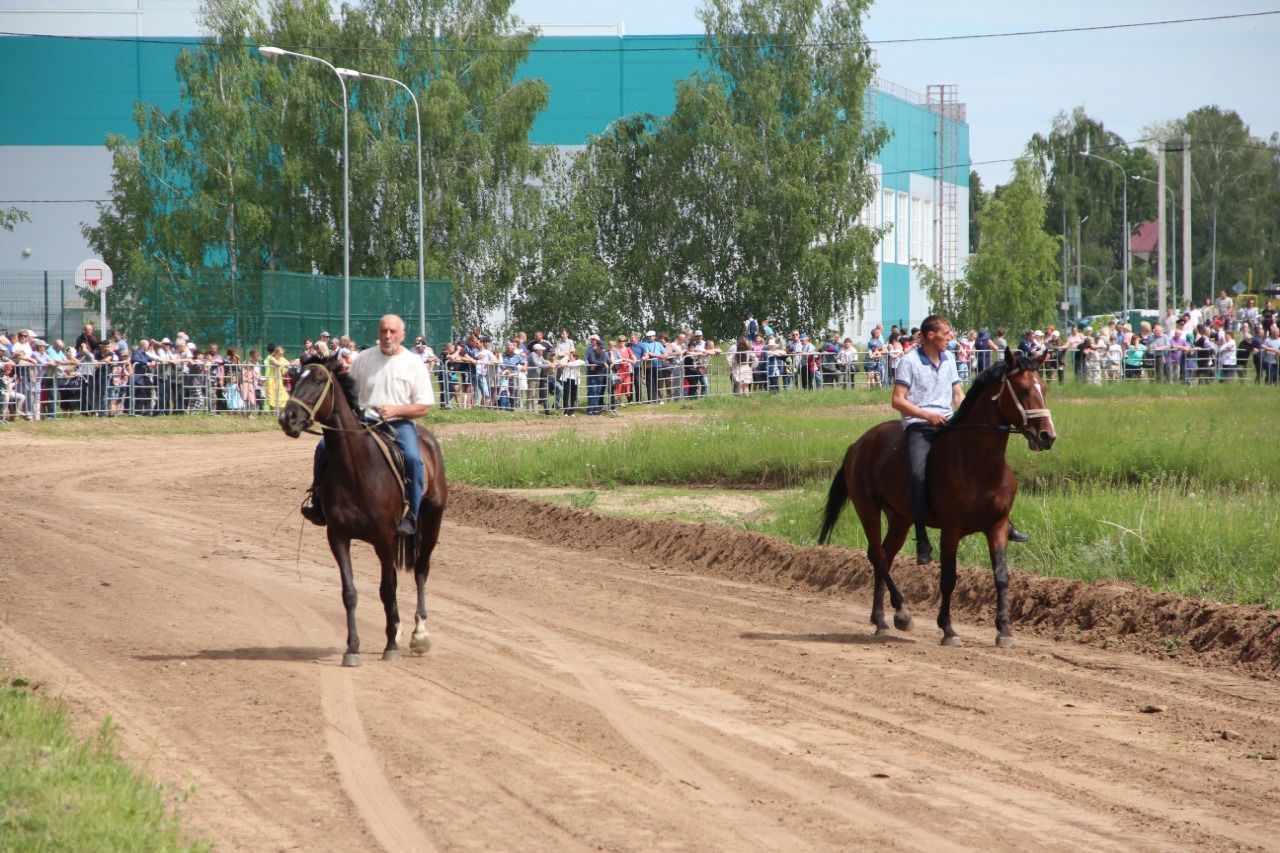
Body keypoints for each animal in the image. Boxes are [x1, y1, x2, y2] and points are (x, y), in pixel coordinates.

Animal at [277, 350, 448, 666]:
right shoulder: (338, 536)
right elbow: (351, 592)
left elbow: (387, 589)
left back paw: (418, 633)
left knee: (420, 570)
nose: (287, 417)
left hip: (430, 524)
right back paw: (398, 628)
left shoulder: (384, 538)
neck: (357, 469)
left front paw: (390, 646)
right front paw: (353, 648)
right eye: (294, 377)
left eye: (318, 380)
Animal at [819, 345, 1059, 645]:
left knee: (885, 554)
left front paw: (1004, 630)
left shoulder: (997, 526)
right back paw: (902, 613)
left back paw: (881, 620)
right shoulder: (951, 529)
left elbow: (1001, 576)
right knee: (878, 556)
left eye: (1044, 388)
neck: (977, 463)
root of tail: (858, 444)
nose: (1047, 436)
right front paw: (948, 629)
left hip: (900, 518)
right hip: (867, 509)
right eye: (1024, 389)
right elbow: (948, 578)